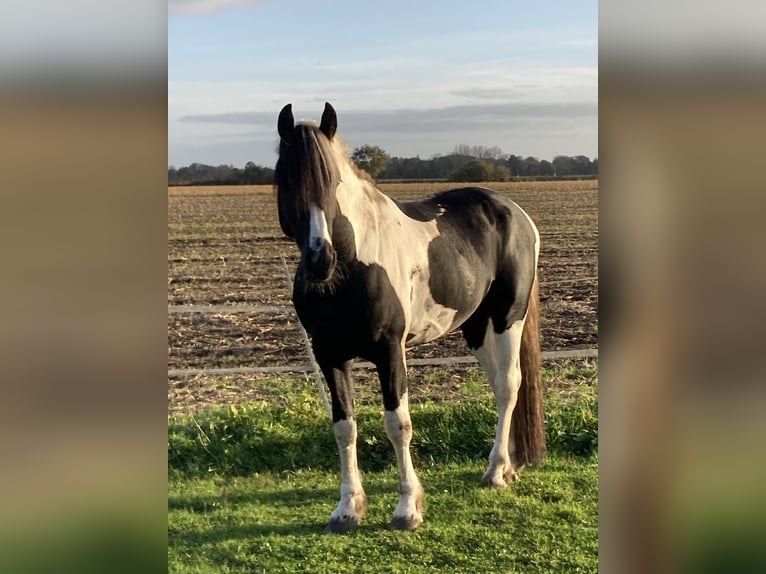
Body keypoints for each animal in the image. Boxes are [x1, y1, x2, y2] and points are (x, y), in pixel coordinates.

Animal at [276, 103, 544, 536]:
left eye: (333, 180)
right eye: (285, 179)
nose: (320, 259)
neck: (352, 267)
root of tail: (514, 213)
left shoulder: (389, 350)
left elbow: (397, 424)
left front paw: (407, 509)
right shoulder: (329, 354)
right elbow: (344, 426)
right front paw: (347, 509)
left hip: (507, 318)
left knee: (508, 386)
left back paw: (495, 473)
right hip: (476, 327)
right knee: (502, 387)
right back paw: (509, 465)